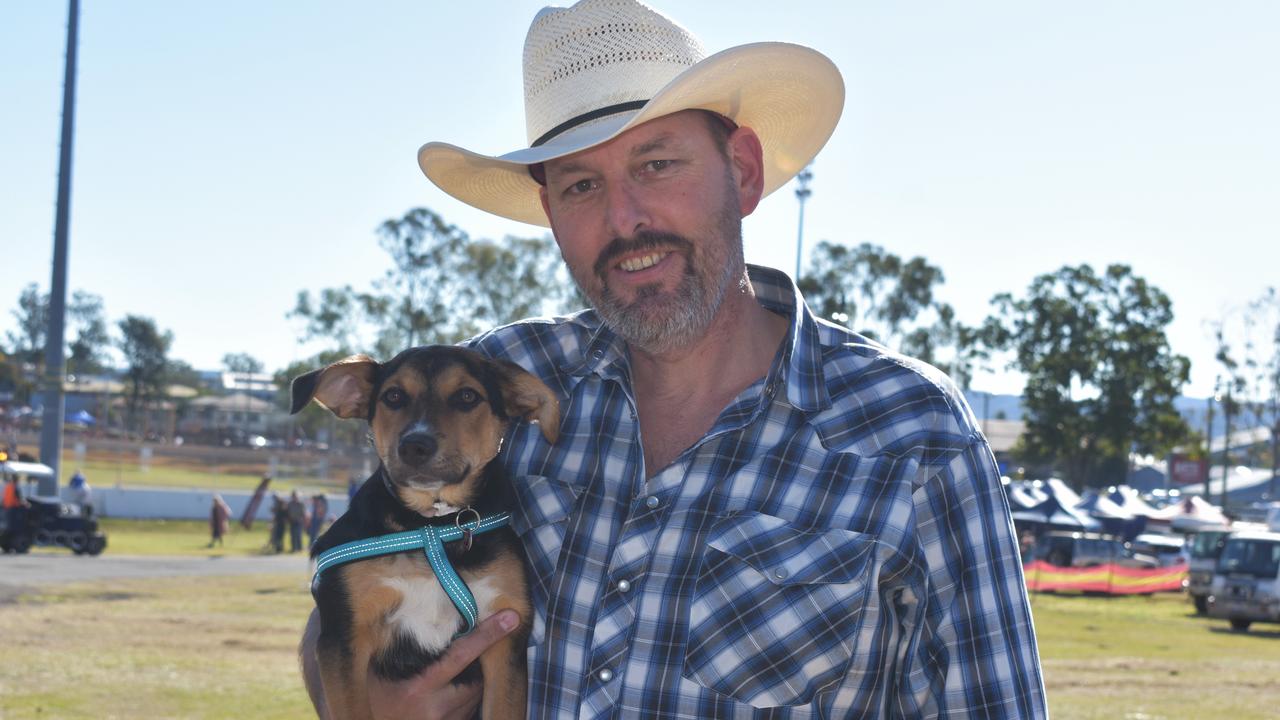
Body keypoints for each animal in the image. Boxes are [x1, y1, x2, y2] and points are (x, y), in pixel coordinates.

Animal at [294, 345, 560, 712]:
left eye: (467, 396)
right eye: (393, 396)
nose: (414, 446)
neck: (432, 525)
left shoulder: (506, 640)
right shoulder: (343, 636)